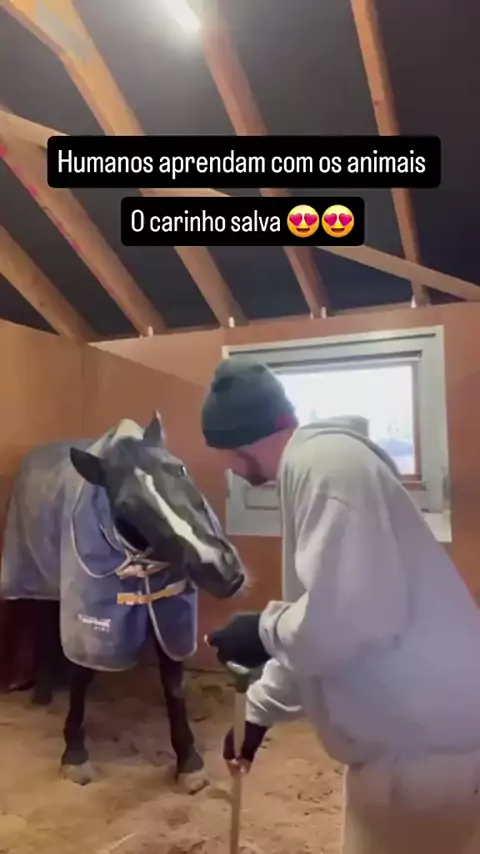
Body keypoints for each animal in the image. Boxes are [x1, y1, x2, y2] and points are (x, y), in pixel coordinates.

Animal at [0, 413, 246, 791]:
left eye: (180, 468)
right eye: (126, 506)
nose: (219, 567)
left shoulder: (170, 616)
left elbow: (173, 685)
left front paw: (188, 761)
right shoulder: (93, 614)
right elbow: (81, 676)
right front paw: (74, 754)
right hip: (39, 579)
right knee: (44, 628)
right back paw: (41, 692)